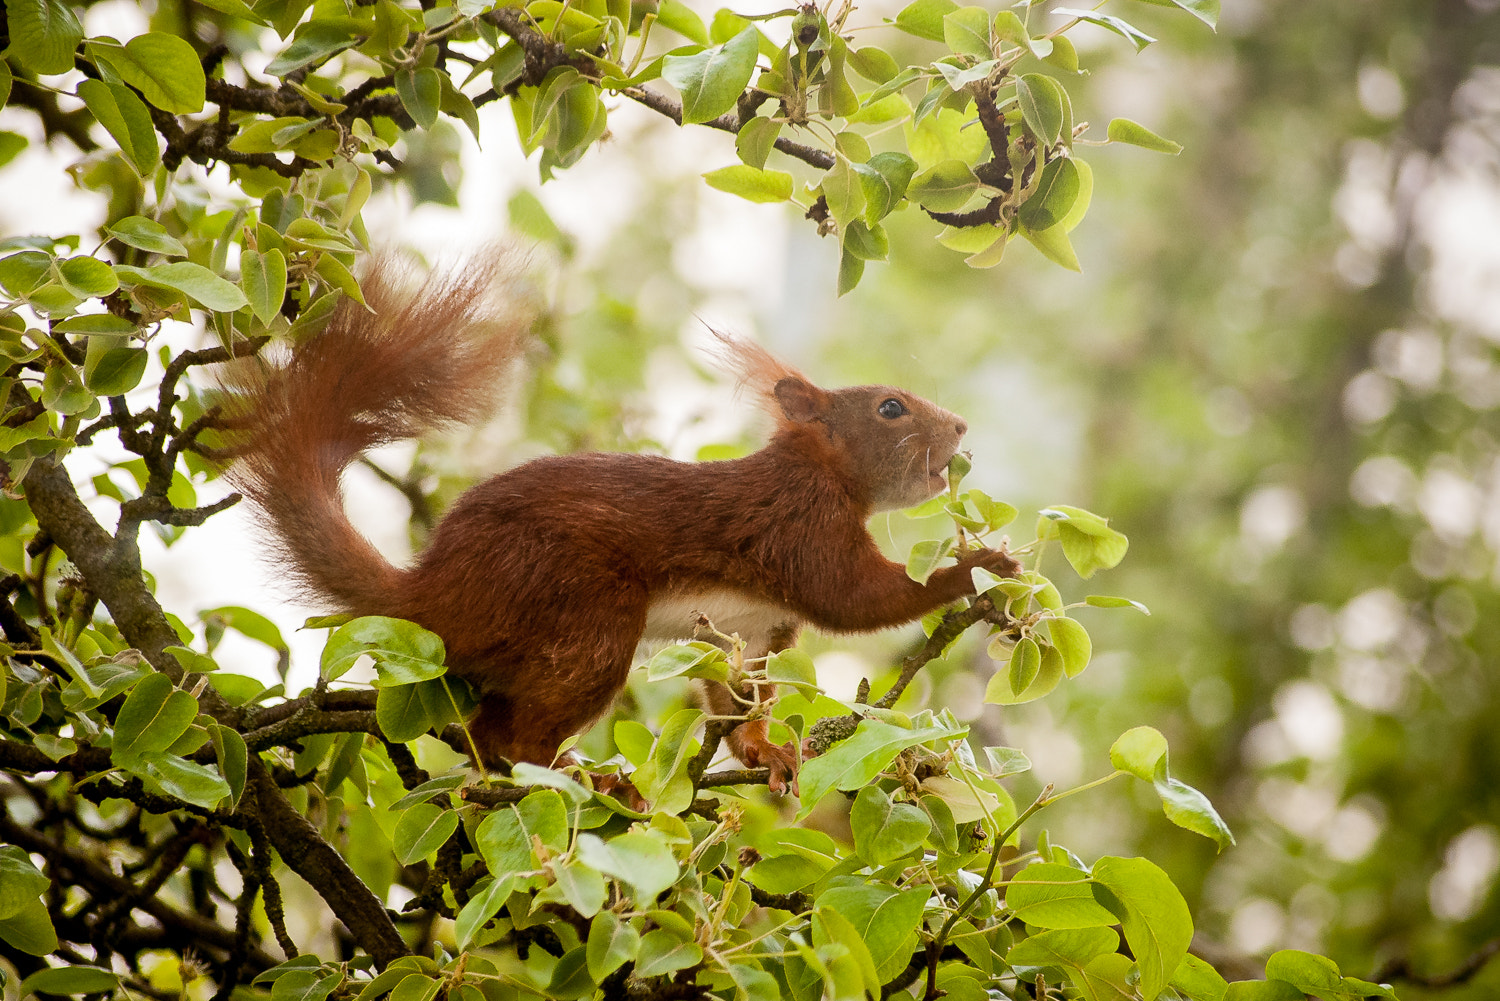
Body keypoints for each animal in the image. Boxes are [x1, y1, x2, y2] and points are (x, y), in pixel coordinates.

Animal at [231, 262, 1020, 792]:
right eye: (890, 408)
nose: (960, 428)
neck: (823, 472)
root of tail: (433, 592)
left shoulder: (752, 630)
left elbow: (739, 697)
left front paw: (765, 752)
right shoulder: (800, 526)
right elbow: (858, 600)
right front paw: (979, 566)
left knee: (490, 728)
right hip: (585, 611)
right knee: (517, 731)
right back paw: (580, 776)